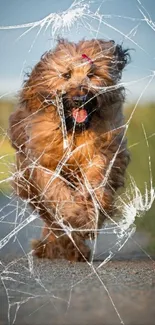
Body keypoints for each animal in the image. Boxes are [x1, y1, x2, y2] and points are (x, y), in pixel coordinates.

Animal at [8, 38, 130, 260]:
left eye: (92, 74)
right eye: (66, 75)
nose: (80, 98)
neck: (73, 128)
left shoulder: (100, 153)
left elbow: (95, 181)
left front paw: (87, 218)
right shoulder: (41, 163)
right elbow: (56, 190)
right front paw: (74, 215)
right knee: (52, 219)